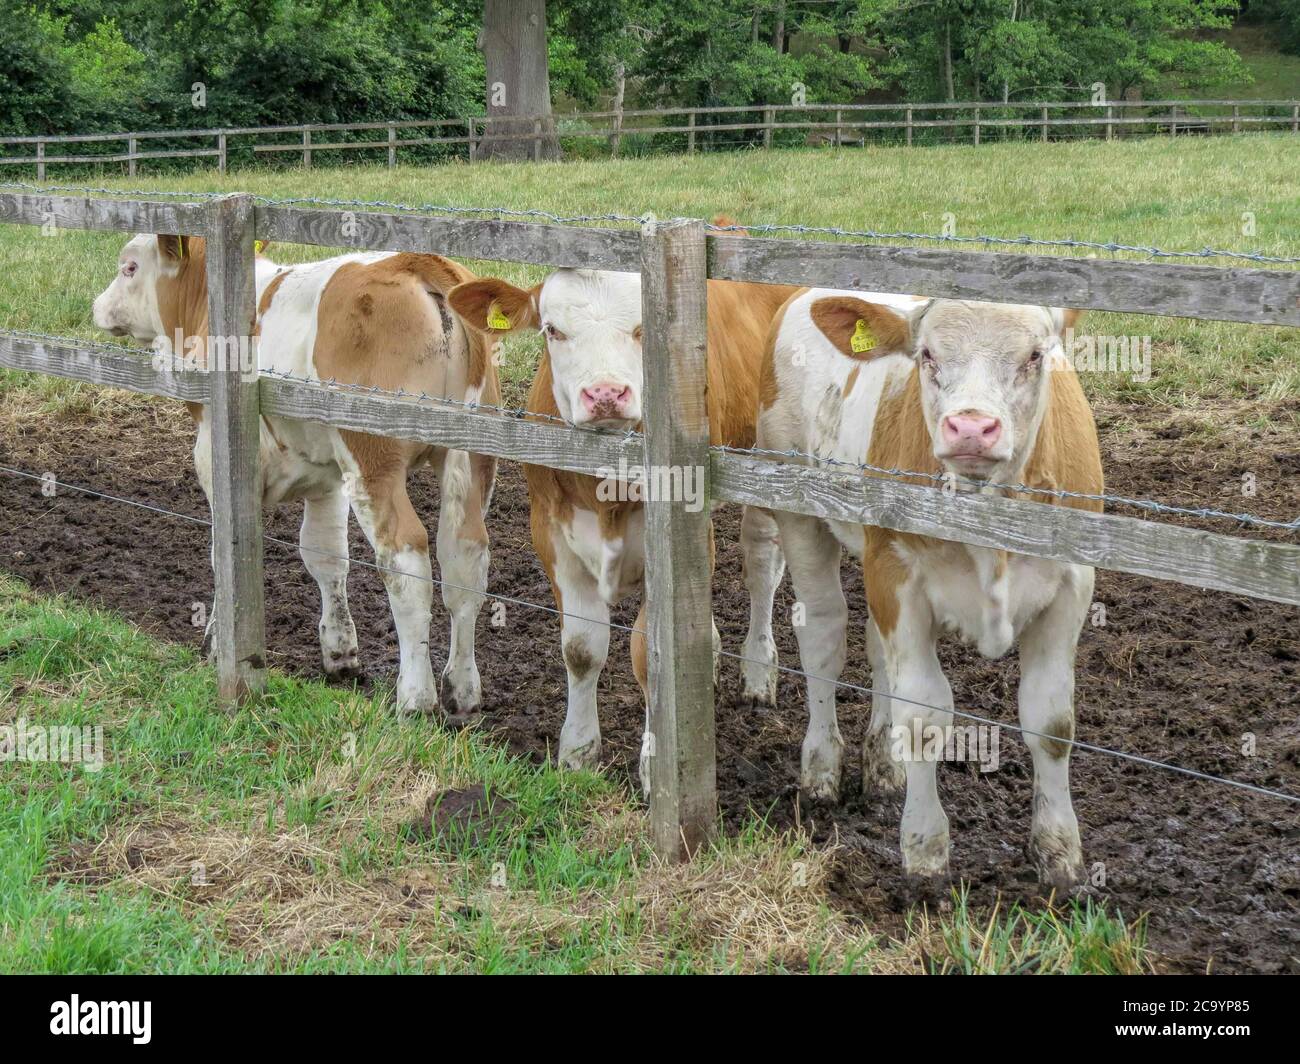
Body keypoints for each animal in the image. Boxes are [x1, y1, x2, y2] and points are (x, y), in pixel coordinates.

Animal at [452, 265, 800, 780]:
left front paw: (654, 766)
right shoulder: (550, 535)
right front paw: (577, 751)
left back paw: (758, 672)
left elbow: (649, 655)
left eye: (643, 330)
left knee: (761, 567)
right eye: (552, 330)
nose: (605, 394)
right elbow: (581, 648)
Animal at [759, 283, 1107, 889]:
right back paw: (821, 767)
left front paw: (1060, 853)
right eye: (927, 356)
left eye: (1035, 356)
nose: (970, 428)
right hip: (800, 513)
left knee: (876, 649)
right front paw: (924, 850)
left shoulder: (1071, 584)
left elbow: (1051, 720)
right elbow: (922, 715)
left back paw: (884, 766)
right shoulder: (897, 574)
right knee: (825, 636)